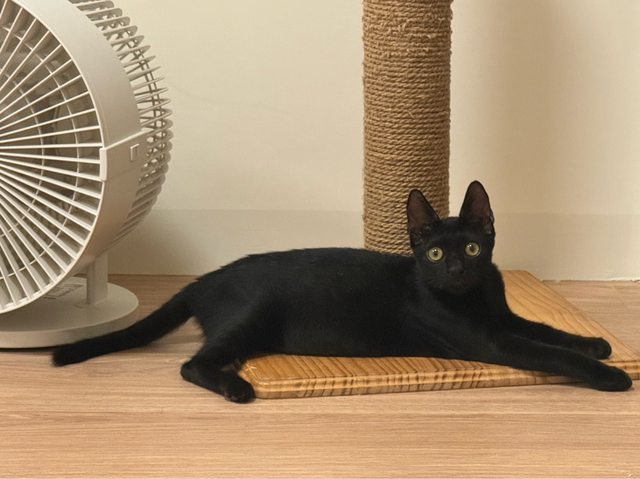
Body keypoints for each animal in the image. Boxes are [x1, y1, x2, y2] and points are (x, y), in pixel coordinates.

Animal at [52, 181, 633, 402]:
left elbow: (548, 330)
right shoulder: (490, 341)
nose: (453, 273)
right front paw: (611, 374)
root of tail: (203, 280)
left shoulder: (503, 319)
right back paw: (238, 387)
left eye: (471, 249)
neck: (473, 298)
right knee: (191, 364)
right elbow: (546, 352)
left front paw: (596, 343)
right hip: (253, 317)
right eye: (434, 255)